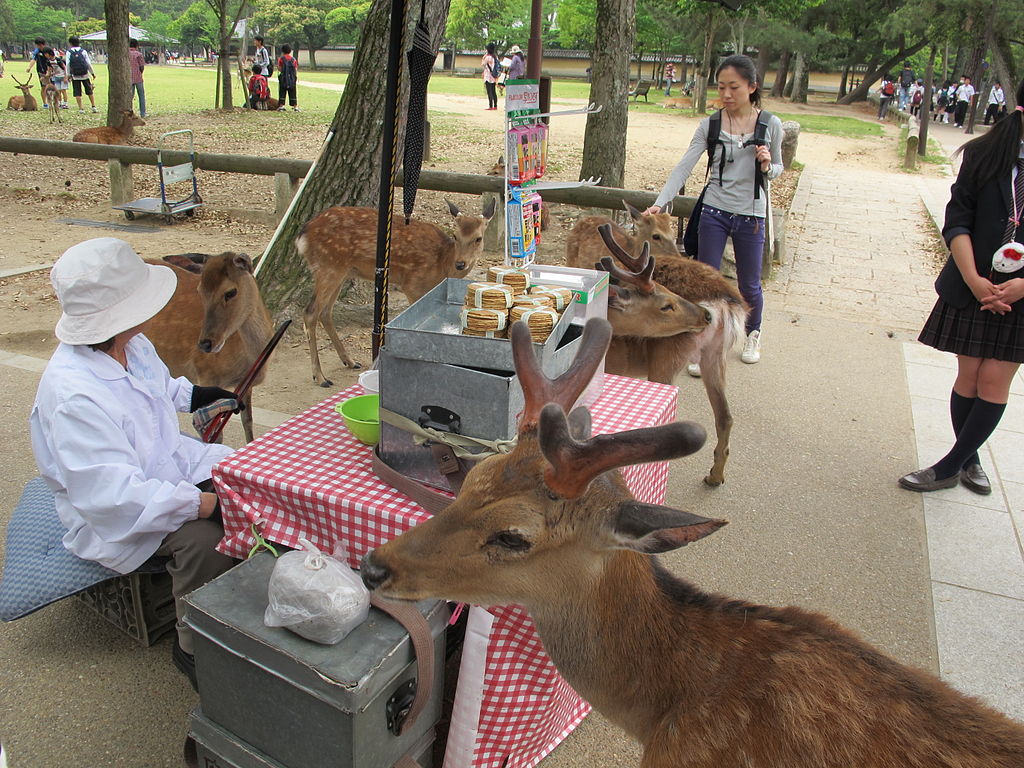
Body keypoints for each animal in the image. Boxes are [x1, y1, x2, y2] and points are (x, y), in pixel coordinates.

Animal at [144, 253, 274, 444]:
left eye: (231, 292)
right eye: (200, 292)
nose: (205, 343)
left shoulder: (246, 384)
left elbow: (248, 421)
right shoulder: (205, 374)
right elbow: (215, 434)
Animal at [294, 199, 497, 385]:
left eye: (478, 238)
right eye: (455, 236)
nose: (460, 263)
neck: (442, 265)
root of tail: (303, 235)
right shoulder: (412, 284)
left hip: (342, 271)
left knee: (325, 312)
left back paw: (350, 361)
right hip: (329, 266)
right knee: (311, 312)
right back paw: (320, 377)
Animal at [569, 208, 745, 487]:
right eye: (666, 305)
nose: (705, 315)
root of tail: (726, 303)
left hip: (667, 358)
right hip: (714, 356)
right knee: (725, 416)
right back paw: (715, 476)